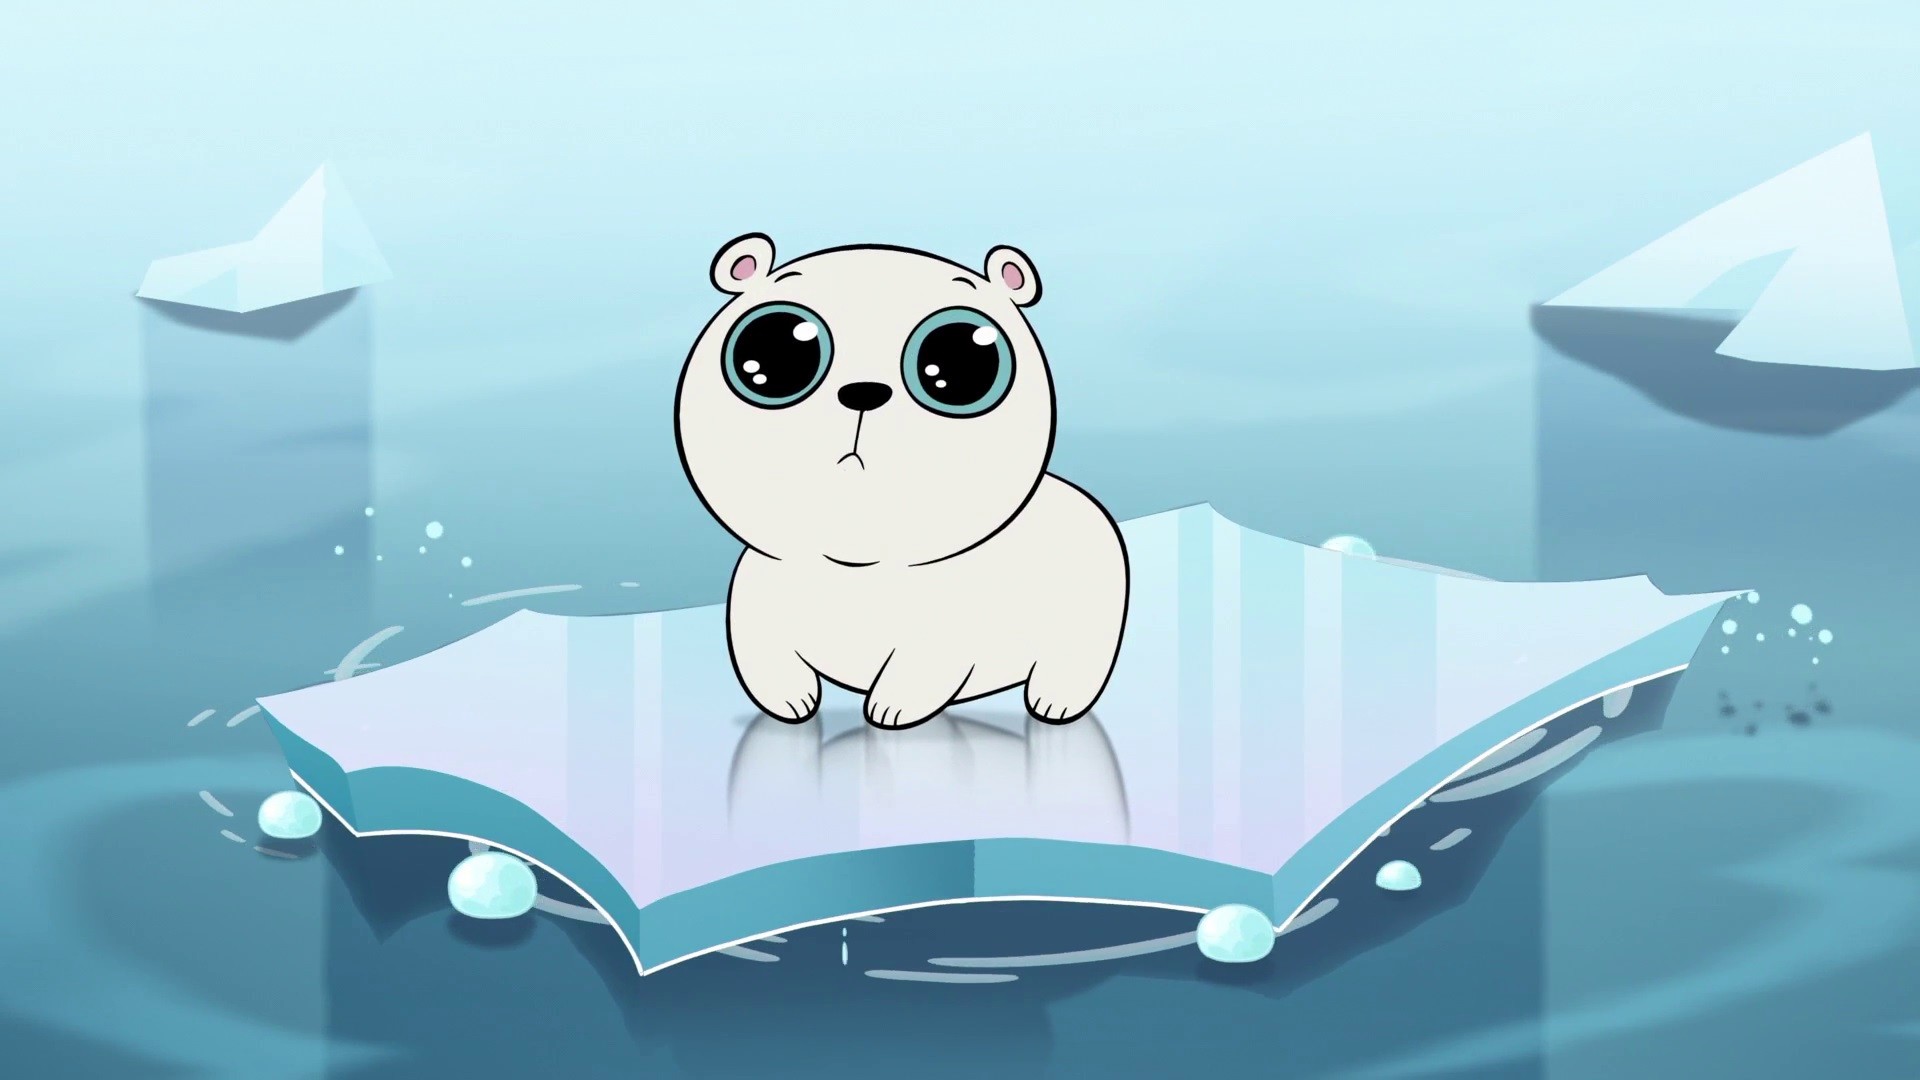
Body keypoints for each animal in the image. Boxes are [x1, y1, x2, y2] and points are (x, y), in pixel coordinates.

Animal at [675, 233, 1129, 730]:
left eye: (964, 359)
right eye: (768, 352)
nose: (863, 392)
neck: (857, 567)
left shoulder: (943, 637)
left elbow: (920, 670)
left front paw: (890, 711)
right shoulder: (755, 607)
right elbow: (766, 660)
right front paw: (791, 705)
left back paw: (1055, 703)